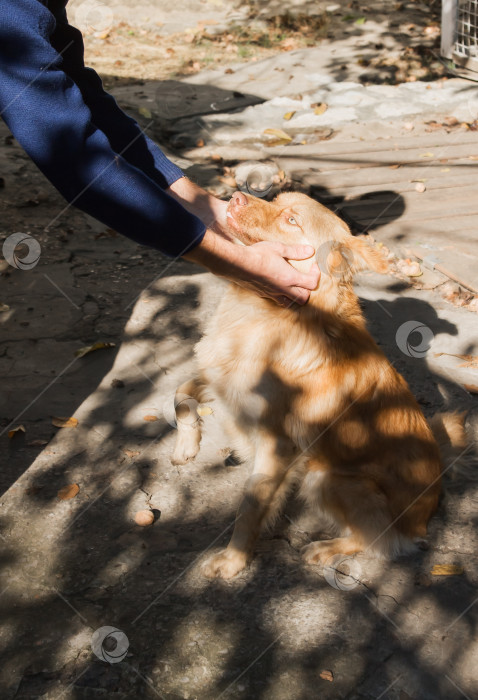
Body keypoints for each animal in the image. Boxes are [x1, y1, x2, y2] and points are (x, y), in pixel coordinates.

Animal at [172, 189, 466, 576]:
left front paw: (234, 560)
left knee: (381, 542)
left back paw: (327, 549)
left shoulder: (277, 445)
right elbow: (181, 394)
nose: (234, 197)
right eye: (275, 199)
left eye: (292, 220)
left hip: (325, 477)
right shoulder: (222, 383)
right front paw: (186, 446)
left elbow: (250, 506)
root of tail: (425, 515)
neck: (274, 311)